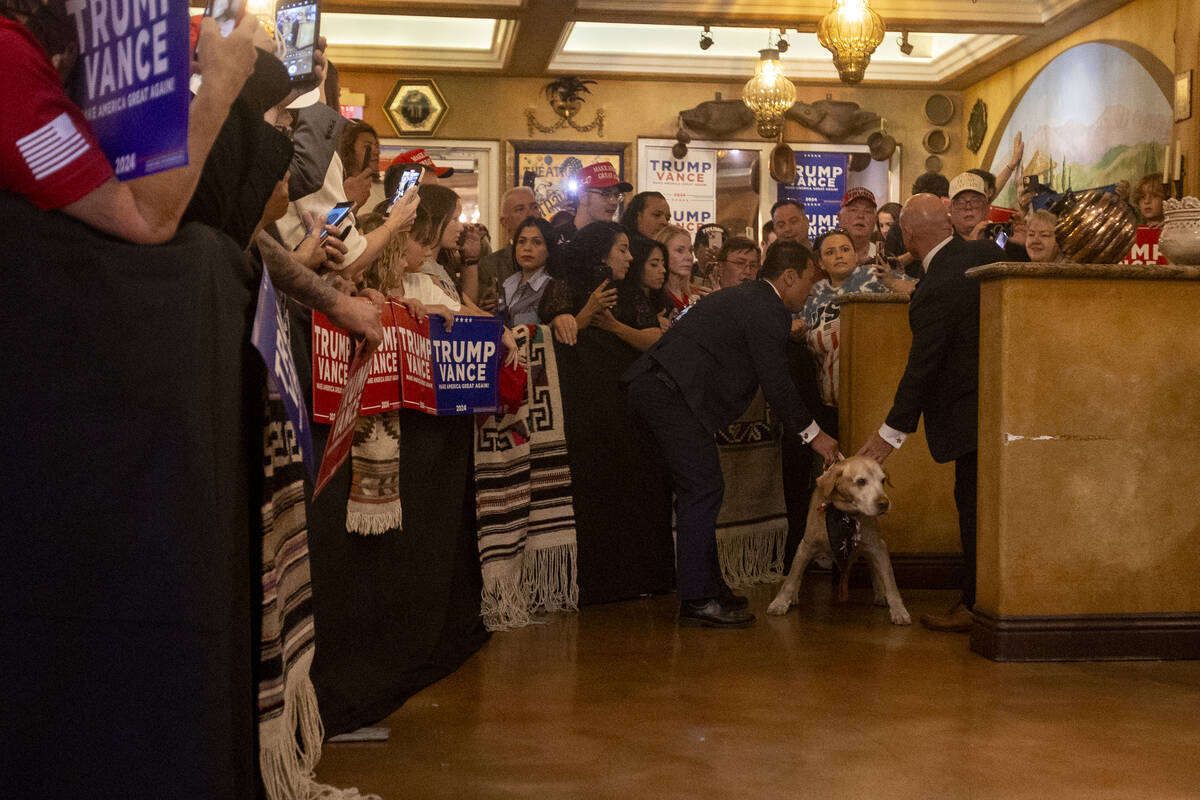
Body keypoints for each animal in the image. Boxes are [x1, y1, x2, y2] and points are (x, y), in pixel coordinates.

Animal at [768, 455, 907, 623]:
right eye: (861, 481)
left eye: (883, 480)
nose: (884, 503)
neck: (844, 514)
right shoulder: (806, 546)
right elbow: (791, 578)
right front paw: (780, 602)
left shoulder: (878, 547)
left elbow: (890, 582)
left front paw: (899, 610)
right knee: (798, 573)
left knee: (876, 572)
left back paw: (881, 593)